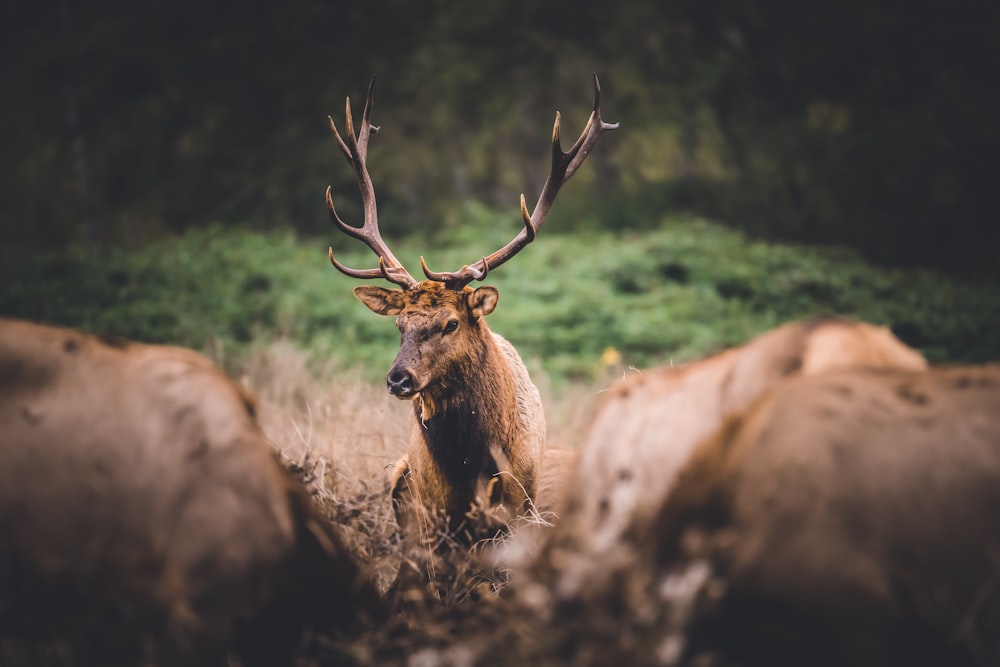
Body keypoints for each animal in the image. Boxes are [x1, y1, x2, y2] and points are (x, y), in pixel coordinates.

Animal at [324, 74, 616, 544]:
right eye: (399, 325)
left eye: (450, 323)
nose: (399, 379)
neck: (471, 464)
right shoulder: (434, 518)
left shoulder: (520, 509)